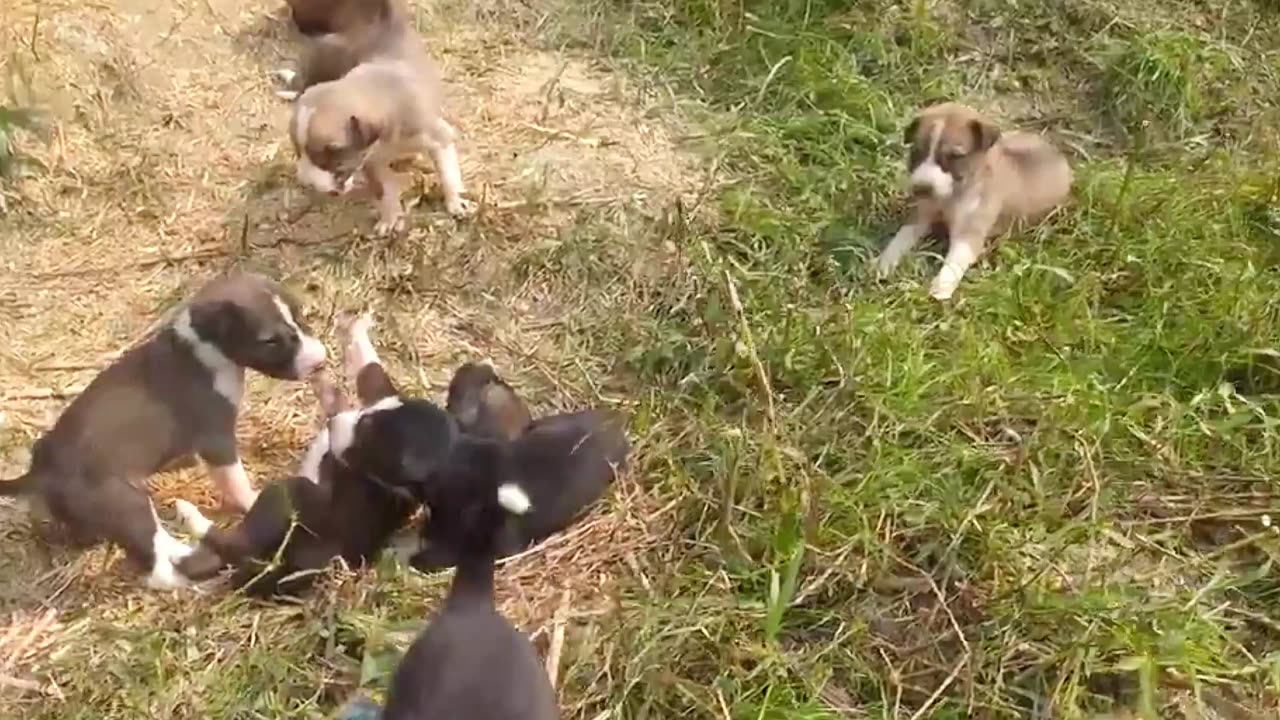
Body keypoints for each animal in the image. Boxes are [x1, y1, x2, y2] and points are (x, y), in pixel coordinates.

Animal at [0, 271, 327, 586]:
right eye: (269, 341)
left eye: (301, 316)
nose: (321, 362)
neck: (200, 348)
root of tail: (40, 471)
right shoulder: (216, 438)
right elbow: (236, 481)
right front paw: (251, 500)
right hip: (126, 504)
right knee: (159, 565)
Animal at [276, 0, 476, 234]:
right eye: (298, 152)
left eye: (332, 151)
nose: (305, 182)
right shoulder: (369, 162)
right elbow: (383, 190)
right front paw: (390, 218)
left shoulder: (439, 136)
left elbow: (448, 173)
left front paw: (456, 202)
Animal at [875, 101, 1075, 299]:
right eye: (916, 151)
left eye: (955, 156)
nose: (921, 188)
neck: (951, 197)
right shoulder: (921, 214)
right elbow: (902, 236)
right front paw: (884, 262)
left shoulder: (970, 231)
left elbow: (955, 259)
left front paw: (941, 286)